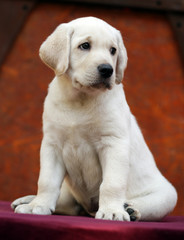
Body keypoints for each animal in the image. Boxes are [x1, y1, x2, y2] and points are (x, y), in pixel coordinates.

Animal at [11, 16, 177, 221]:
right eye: (85, 46)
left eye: (113, 50)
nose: (107, 70)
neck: (80, 99)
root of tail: (88, 209)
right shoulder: (52, 144)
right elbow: (47, 181)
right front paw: (38, 206)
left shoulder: (113, 143)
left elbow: (111, 184)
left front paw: (112, 211)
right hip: (70, 194)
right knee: (65, 202)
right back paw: (28, 200)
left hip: (167, 195)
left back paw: (131, 209)